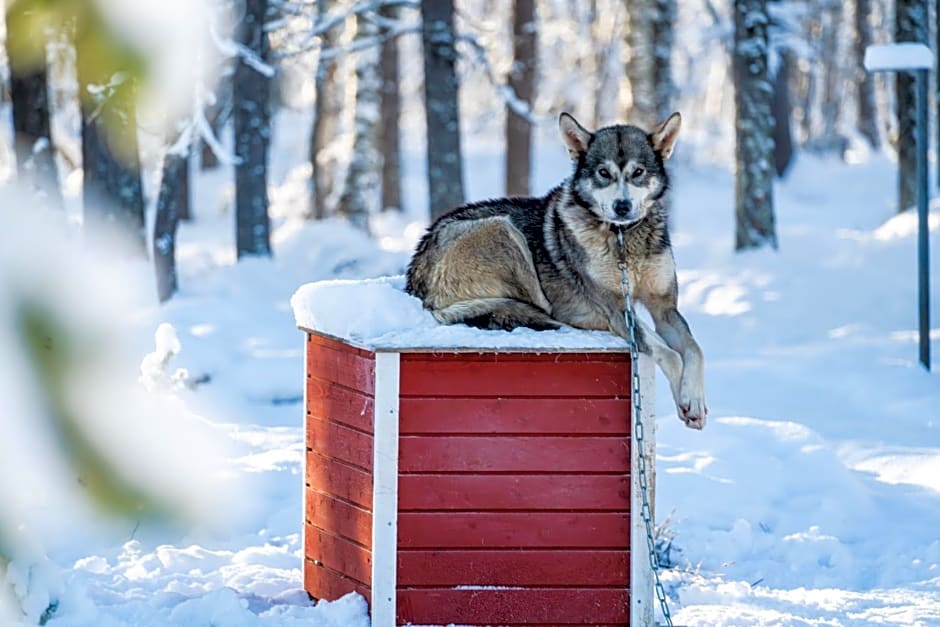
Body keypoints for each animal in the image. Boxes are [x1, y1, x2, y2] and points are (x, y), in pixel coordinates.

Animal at [404, 113, 704, 430]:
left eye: (638, 172)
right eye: (603, 173)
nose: (621, 206)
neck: (623, 239)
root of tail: (416, 276)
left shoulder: (664, 309)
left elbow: (694, 350)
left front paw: (694, 402)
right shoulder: (618, 312)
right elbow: (671, 355)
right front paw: (685, 402)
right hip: (505, 231)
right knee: (541, 310)